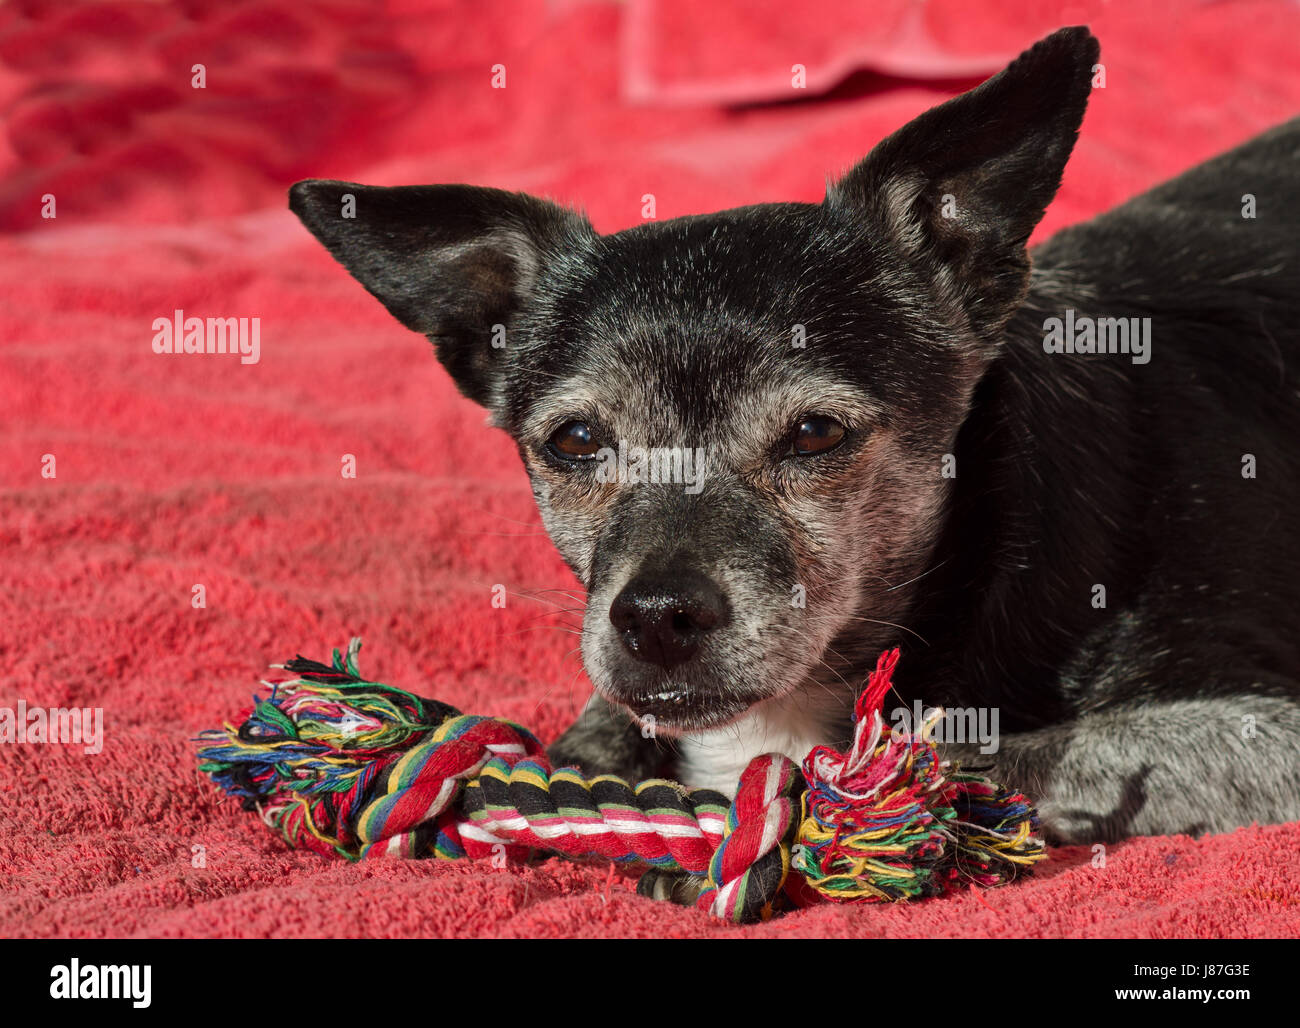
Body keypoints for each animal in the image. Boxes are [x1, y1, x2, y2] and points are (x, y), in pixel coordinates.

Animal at [292, 28, 1300, 847]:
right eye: (574, 441)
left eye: (815, 433)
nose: (654, 616)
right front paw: (569, 765)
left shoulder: (1262, 732)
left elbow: (952, 758)